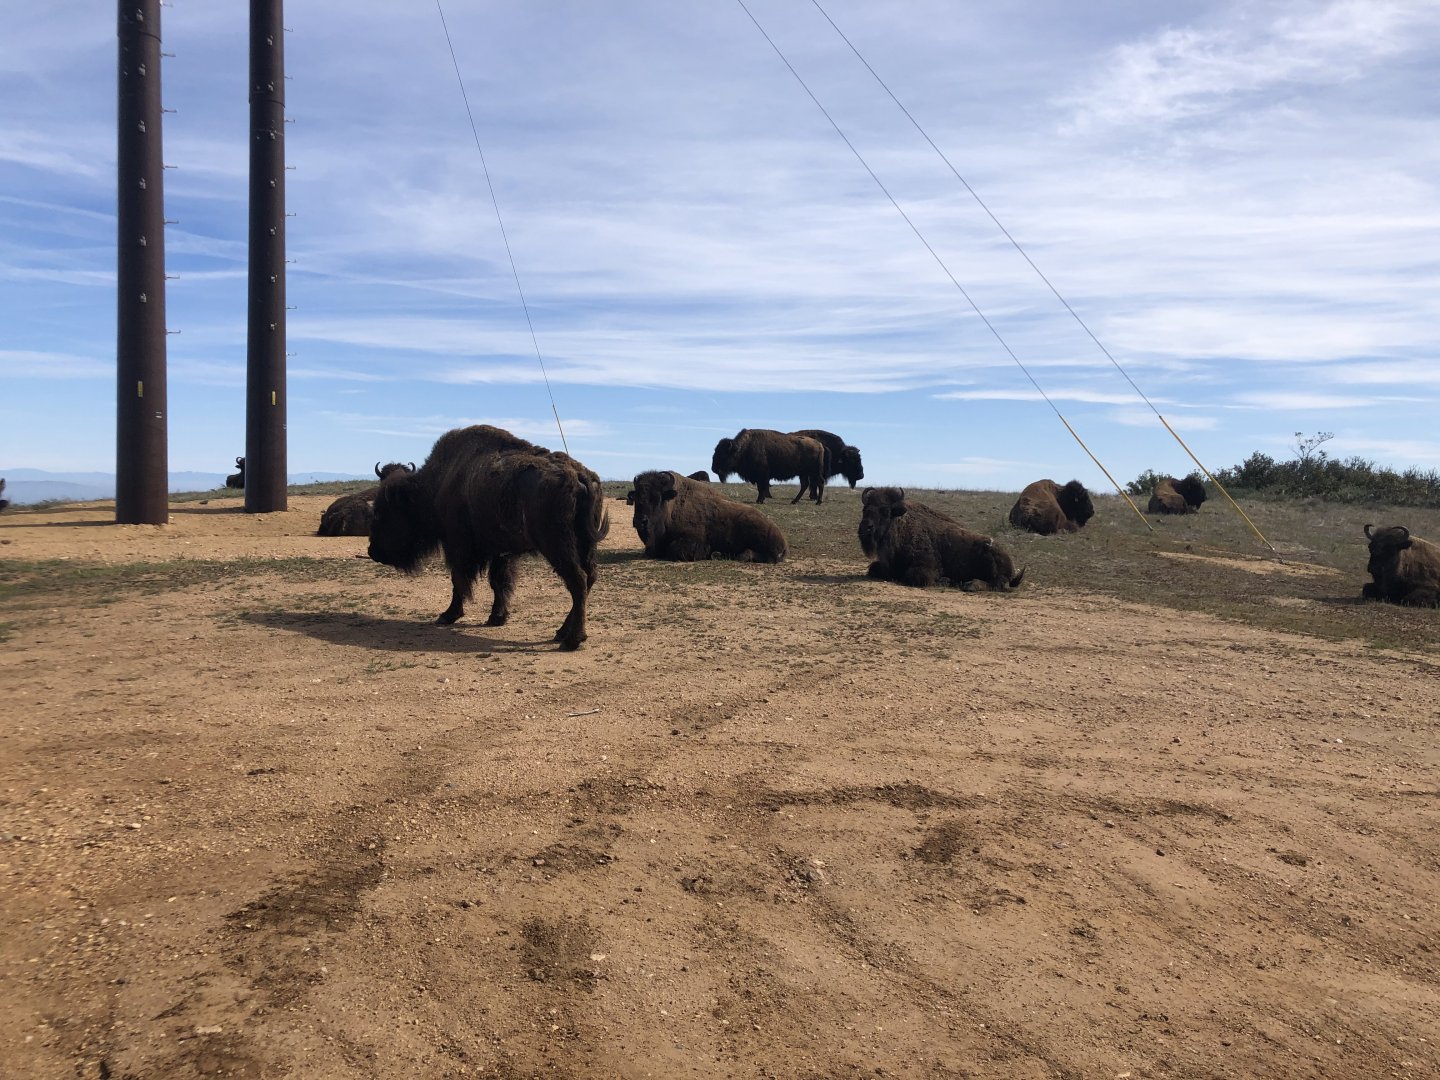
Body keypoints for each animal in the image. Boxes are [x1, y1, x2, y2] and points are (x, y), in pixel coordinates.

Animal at [368, 425, 609, 650]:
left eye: (380, 511)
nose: (372, 551)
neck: (438, 483)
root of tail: (580, 476)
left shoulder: (457, 545)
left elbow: (459, 580)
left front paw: (448, 615)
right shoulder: (500, 552)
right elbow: (498, 582)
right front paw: (496, 617)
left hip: (557, 546)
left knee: (578, 580)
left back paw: (571, 640)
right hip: (585, 545)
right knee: (589, 578)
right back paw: (561, 632)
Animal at [630, 470, 786, 563]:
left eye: (658, 498)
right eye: (636, 497)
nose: (640, 521)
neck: (670, 506)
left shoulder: (695, 542)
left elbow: (674, 549)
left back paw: (722, 555)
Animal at [859, 486, 1024, 591]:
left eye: (886, 511)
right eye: (865, 509)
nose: (865, 528)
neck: (901, 524)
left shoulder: (926, 567)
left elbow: (914, 576)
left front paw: (945, 580)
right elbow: (873, 568)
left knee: (997, 583)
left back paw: (970, 585)